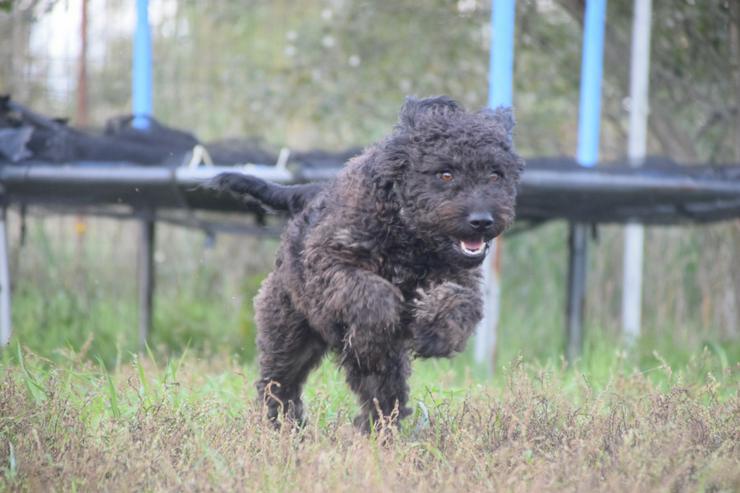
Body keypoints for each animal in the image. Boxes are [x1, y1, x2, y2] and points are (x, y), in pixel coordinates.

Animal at [205, 96, 524, 430]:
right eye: (445, 173)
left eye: (495, 174)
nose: (482, 221)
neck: (411, 239)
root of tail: (310, 192)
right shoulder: (328, 263)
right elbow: (373, 291)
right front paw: (376, 327)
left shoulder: (463, 280)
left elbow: (458, 301)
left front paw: (436, 334)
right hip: (288, 333)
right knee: (279, 384)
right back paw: (283, 426)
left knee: (381, 396)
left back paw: (377, 430)